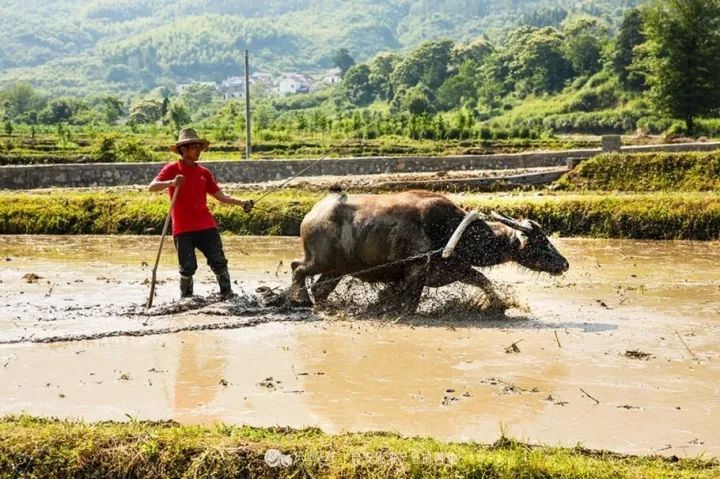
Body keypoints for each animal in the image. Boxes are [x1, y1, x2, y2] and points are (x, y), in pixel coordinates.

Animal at [288, 189, 568, 314]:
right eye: (541, 241)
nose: (564, 263)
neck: (453, 231)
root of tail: (312, 214)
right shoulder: (416, 271)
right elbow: (409, 302)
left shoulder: (455, 269)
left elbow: (482, 279)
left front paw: (499, 304)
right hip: (318, 261)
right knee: (296, 268)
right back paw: (297, 299)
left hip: (336, 270)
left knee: (319, 288)